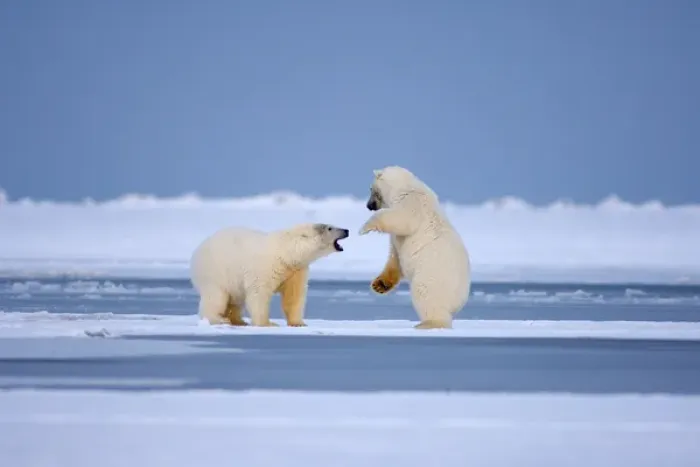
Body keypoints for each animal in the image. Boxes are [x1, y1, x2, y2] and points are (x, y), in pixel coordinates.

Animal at [190, 223, 349, 327]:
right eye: (329, 227)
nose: (346, 230)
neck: (286, 253)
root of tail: (198, 251)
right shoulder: (264, 267)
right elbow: (258, 294)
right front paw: (268, 323)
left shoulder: (295, 270)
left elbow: (294, 296)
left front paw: (298, 323)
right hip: (215, 272)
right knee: (216, 297)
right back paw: (219, 319)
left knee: (235, 300)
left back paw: (239, 321)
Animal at [358, 166, 471, 329]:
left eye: (370, 188)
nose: (368, 205)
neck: (404, 186)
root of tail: (461, 297)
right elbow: (395, 257)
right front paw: (379, 284)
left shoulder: (412, 201)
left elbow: (402, 219)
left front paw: (364, 228)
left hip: (433, 275)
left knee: (426, 294)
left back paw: (429, 323)